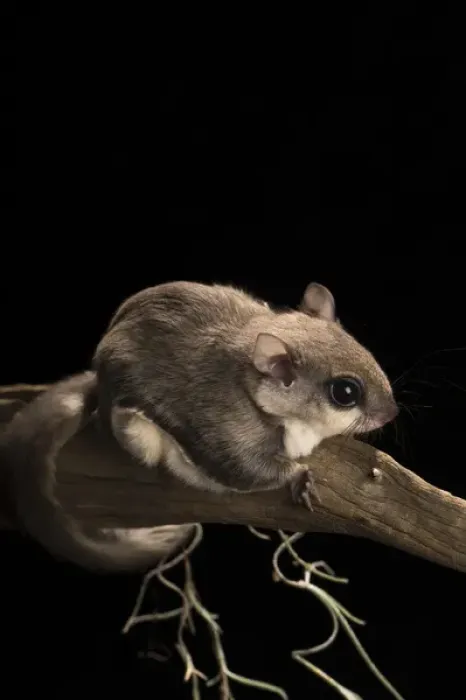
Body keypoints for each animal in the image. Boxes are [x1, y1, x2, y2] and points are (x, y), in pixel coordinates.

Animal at [2, 281, 398, 572]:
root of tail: (98, 379)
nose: (392, 413)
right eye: (345, 392)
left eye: (367, 353)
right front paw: (300, 476)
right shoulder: (226, 430)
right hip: (135, 430)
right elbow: (248, 469)